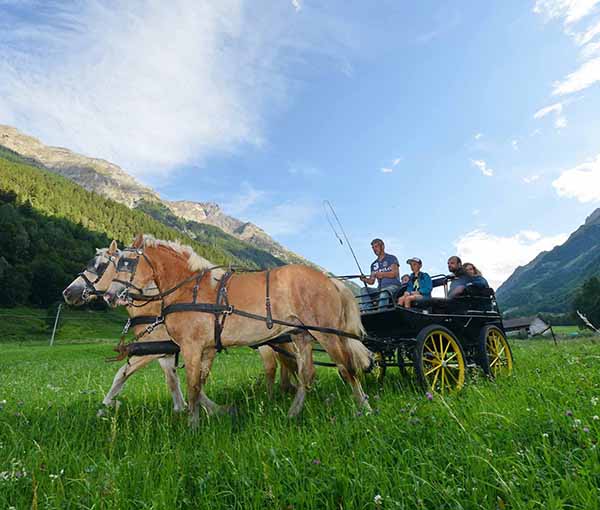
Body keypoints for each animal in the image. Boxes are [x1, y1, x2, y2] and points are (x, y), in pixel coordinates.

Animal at [105, 233, 372, 424]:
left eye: (127, 262)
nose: (110, 295)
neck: (189, 289)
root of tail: (329, 279)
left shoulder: (192, 347)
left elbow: (192, 387)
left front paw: (193, 426)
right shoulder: (206, 349)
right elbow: (199, 385)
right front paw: (212, 413)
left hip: (326, 334)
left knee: (347, 369)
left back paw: (365, 408)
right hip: (302, 335)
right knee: (307, 374)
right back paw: (293, 413)